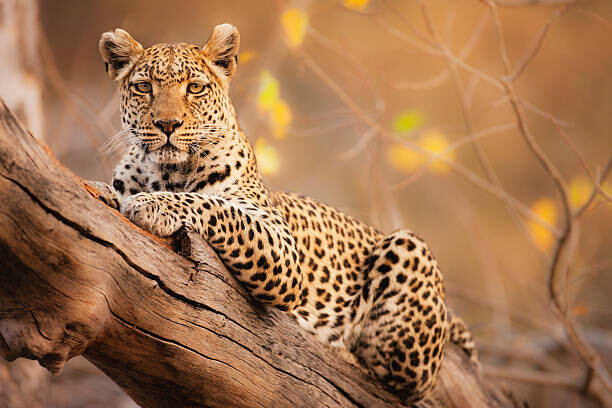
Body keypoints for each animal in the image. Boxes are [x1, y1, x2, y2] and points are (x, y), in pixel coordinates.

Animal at [89, 25, 478, 404]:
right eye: (143, 87)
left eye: (194, 87)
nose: (167, 124)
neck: (167, 172)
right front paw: (107, 192)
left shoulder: (281, 248)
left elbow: (216, 207)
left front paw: (152, 204)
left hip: (409, 249)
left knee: (403, 383)